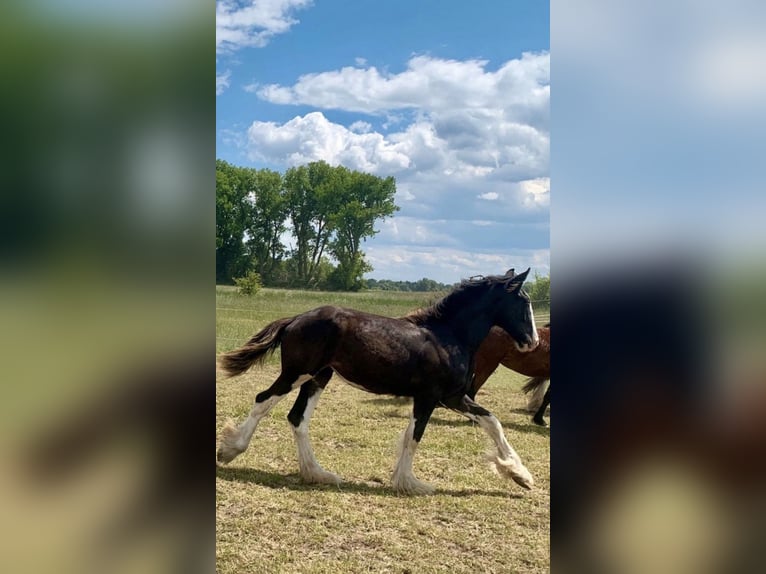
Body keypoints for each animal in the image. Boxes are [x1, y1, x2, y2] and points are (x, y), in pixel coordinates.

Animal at [216, 268, 539, 495]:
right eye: (523, 301)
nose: (533, 342)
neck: (447, 336)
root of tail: (295, 319)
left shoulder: (451, 397)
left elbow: (491, 422)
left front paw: (521, 476)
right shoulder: (431, 396)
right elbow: (414, 437)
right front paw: (411, 484)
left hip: (319, 377)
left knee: (297, 418)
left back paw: (318, 474)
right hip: (298, 373)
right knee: (263, 400)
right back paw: (230, 450)